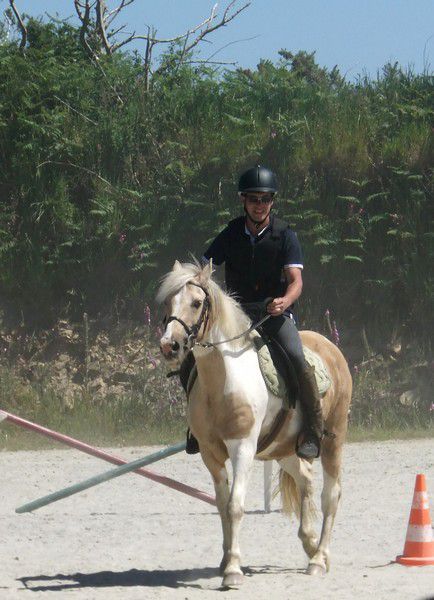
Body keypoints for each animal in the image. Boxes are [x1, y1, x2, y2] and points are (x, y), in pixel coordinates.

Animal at [157, 260, 352, 588]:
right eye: (168, 302)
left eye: (196, 303)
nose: (169, 346)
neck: (224, 380)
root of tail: (331, 347)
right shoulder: (210, 454)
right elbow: (222, 506)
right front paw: (225, 561)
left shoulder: (243, 448)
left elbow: (235, 506)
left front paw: (233, 571)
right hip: (283, 449)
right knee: (305, 481)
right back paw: (310, 544)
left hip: (332, 440)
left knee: (331, 495)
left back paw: (318, 559)